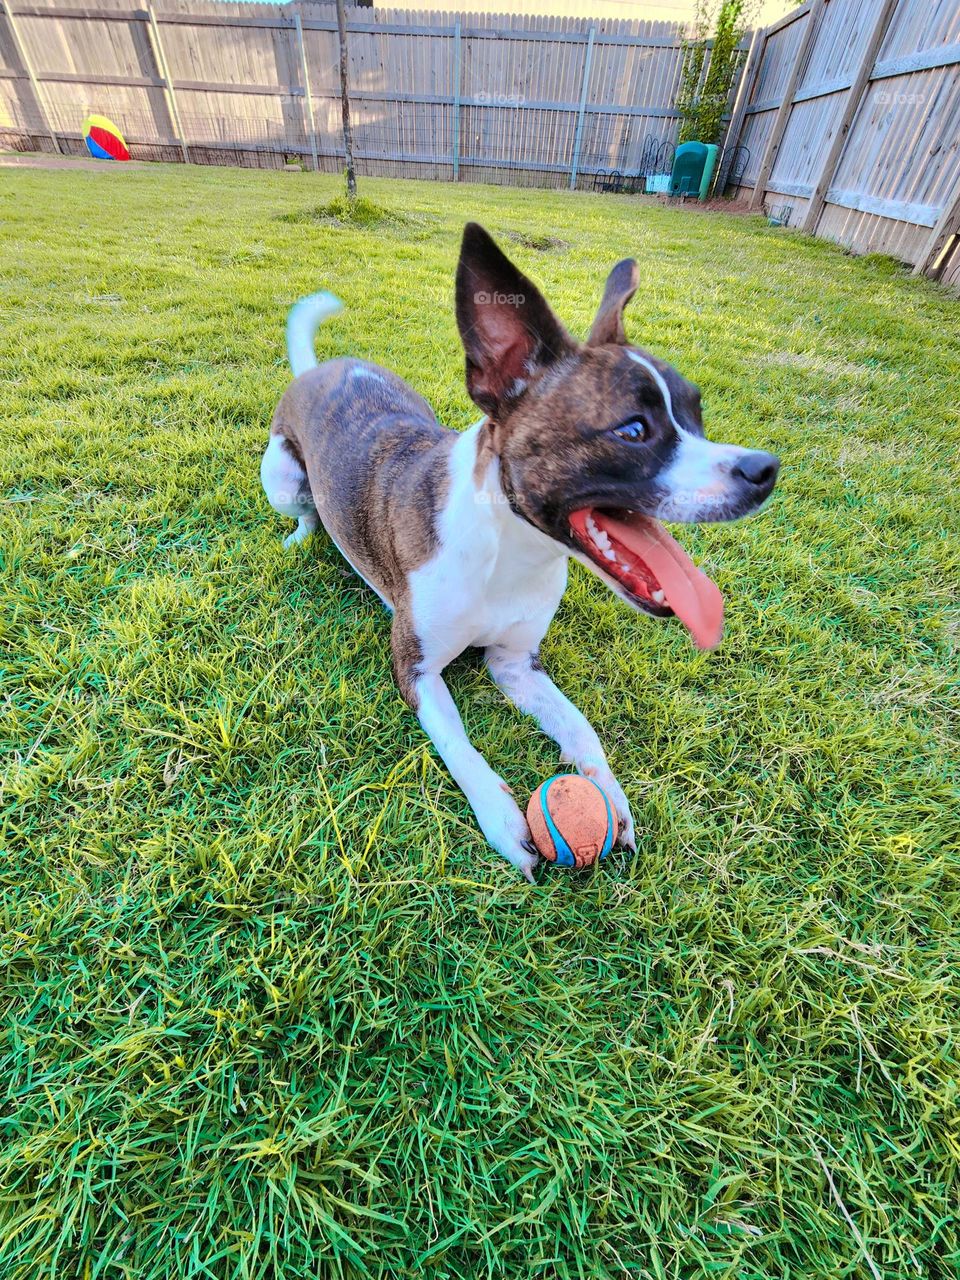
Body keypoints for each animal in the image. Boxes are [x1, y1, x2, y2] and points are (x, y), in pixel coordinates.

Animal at [263, 222, 783, 880]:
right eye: (633, 430)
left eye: (696, 412)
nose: (765, 471)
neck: (508, 553)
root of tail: (320, 370)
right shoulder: (417, 670)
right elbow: (459, 745)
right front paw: (502, 819)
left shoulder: (516, 664)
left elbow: (581, 728)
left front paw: (607, 793)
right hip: (280, 476)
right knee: (303, 507)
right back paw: (304, 533)